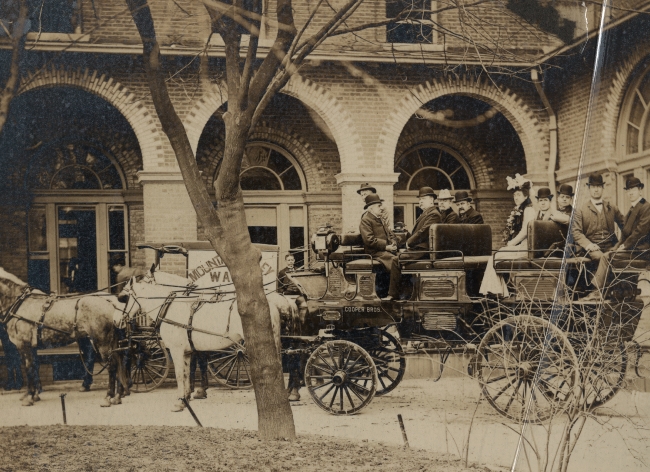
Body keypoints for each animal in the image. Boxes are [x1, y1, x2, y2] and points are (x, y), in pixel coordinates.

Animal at [0, 270, 123, 406]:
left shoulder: (23, 345)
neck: (20, 303)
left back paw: (108, 396)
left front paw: (29, 397)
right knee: (118, 364)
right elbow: (34, 367)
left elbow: (28, 369)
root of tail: (110, 301)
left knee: (111, 366)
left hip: (102, 342)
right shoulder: (32, 346)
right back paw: (117, 397)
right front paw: (35, 395)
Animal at [117, 272, 294, 412]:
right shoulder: (187, 352)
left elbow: (180, 376)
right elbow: (186, 374)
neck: (170, 308)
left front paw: (179, 403)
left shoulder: (176, 350)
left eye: (123, 298)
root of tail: (272, 303)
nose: (117, 321)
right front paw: (186, 399)